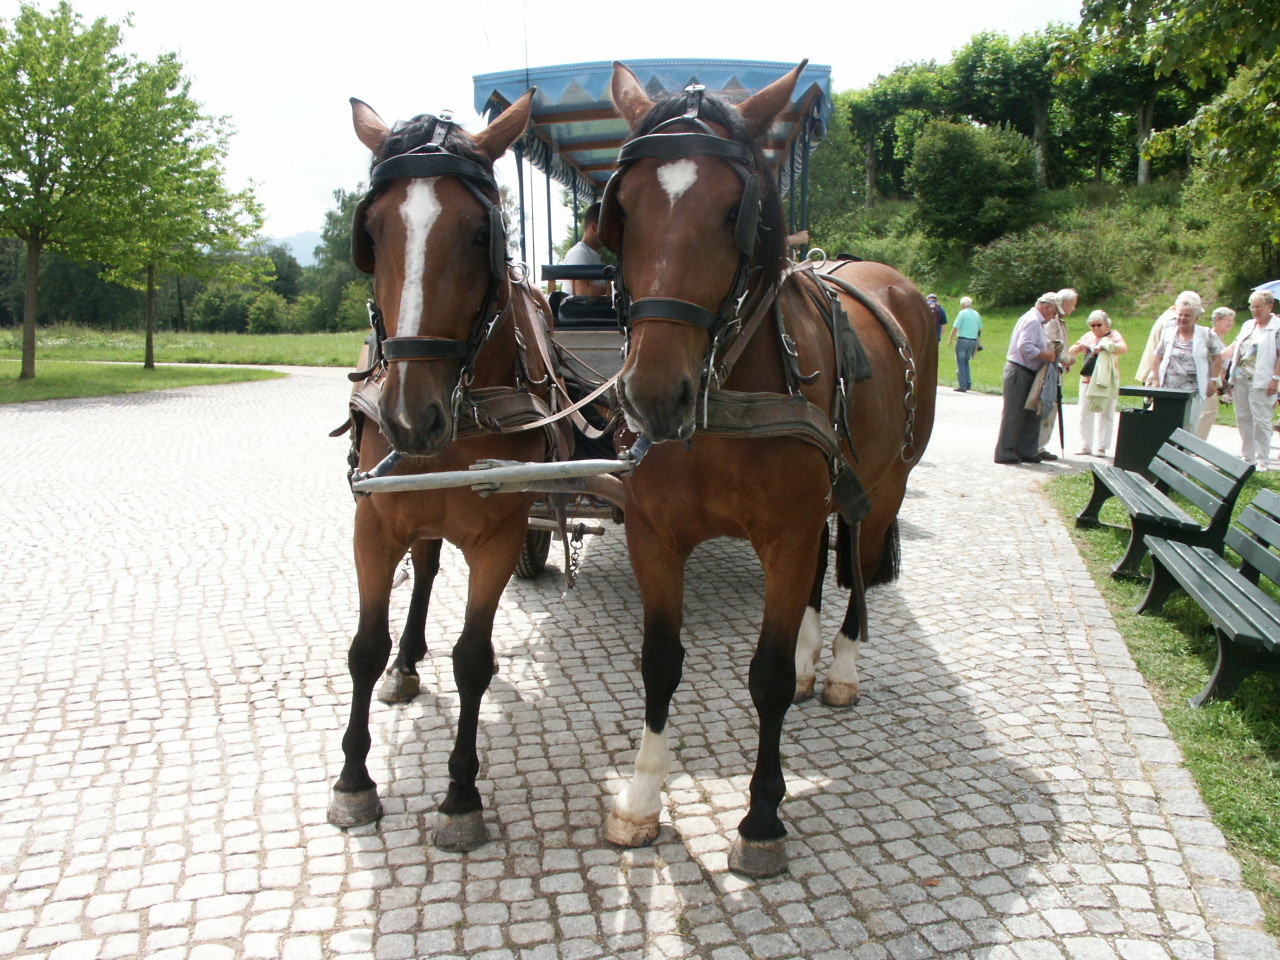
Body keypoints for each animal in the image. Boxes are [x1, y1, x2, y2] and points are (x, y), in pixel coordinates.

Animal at [327, 92, 563, 855]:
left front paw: (461, 793)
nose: (410, 417)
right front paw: (354, 780)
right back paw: (406, 663)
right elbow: (363, 648)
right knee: (426, 569)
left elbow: (474, 660)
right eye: (371, 232)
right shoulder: (373, 521)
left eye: (478, 233)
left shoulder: (500, 535)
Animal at [599, 62, 942, 880]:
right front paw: (641, 797)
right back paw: (819, 657)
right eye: (621, 208)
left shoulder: (783, 536)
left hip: (886, 483)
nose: (653, 394)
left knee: (855, 565)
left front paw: (760, 816)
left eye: (736, 210)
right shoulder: (654, 536)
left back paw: (840, 666)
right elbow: (659, 662)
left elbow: (768, 676)